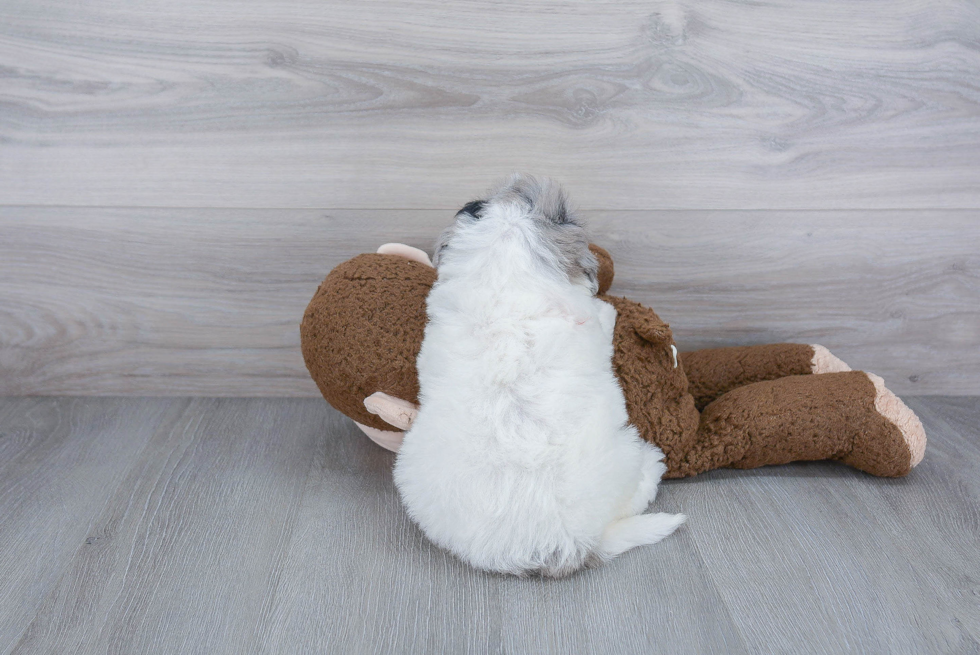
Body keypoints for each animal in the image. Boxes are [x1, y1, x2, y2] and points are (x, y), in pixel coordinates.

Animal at [390, 176, 680, 580]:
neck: (505, 275)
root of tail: (568, 544)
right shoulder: (591, 328)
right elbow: (603, 320)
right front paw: (609, 308)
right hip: (624, 452)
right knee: (637, 492)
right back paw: (655, 463)